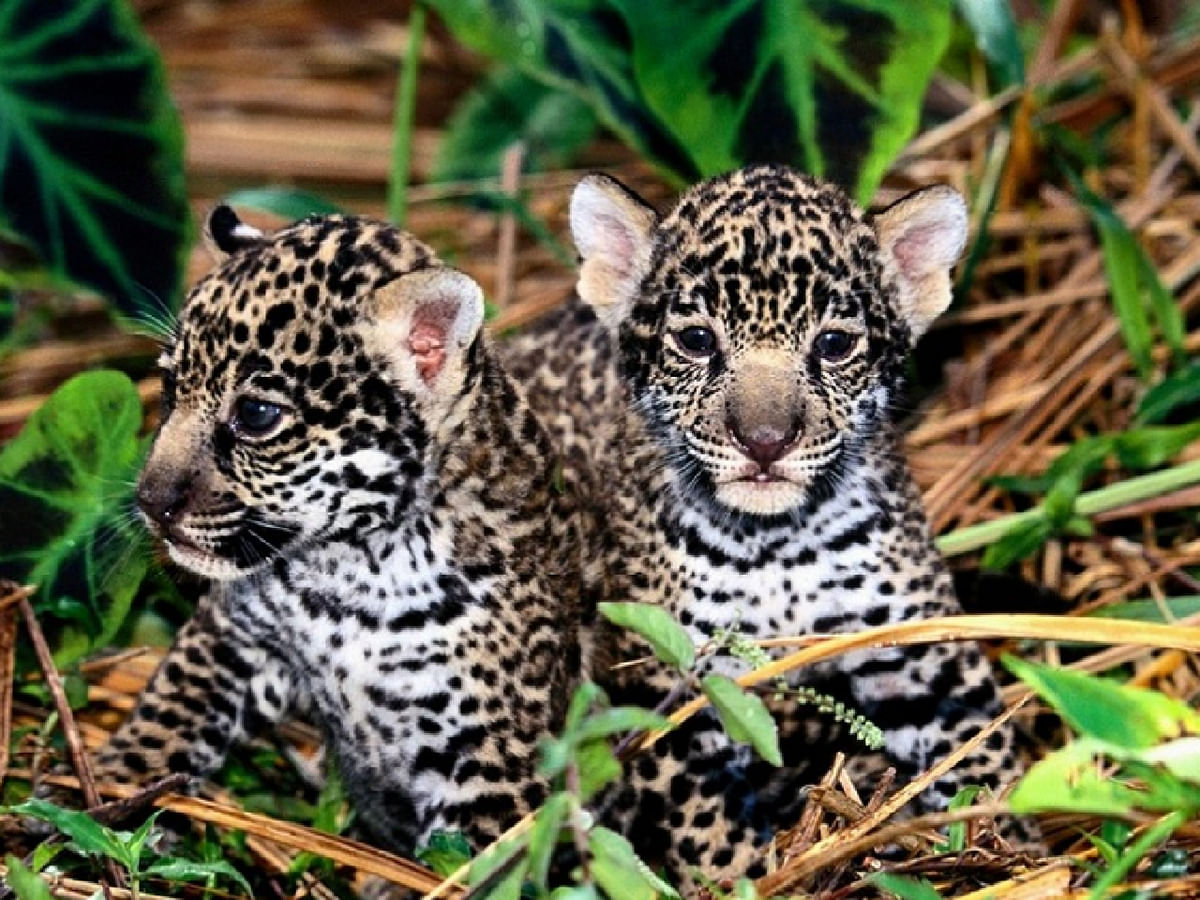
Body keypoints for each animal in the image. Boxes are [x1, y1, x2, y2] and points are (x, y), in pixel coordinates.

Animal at [89, 206, 589, 857]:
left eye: (256, 415)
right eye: (172, 389)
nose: (149, 502)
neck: (351, 575)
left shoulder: (491, 761)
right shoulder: (229, 635)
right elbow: (168, 711)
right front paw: (107, 794)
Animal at [503, 163, 1034, 885]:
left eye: (833, 345)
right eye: (697, 341)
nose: (764, 441)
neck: (778, 546)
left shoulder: (921, 652)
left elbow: (981, 749)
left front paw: (1017, 844)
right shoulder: (671, 688)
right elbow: (708, 829)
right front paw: (750, 876)